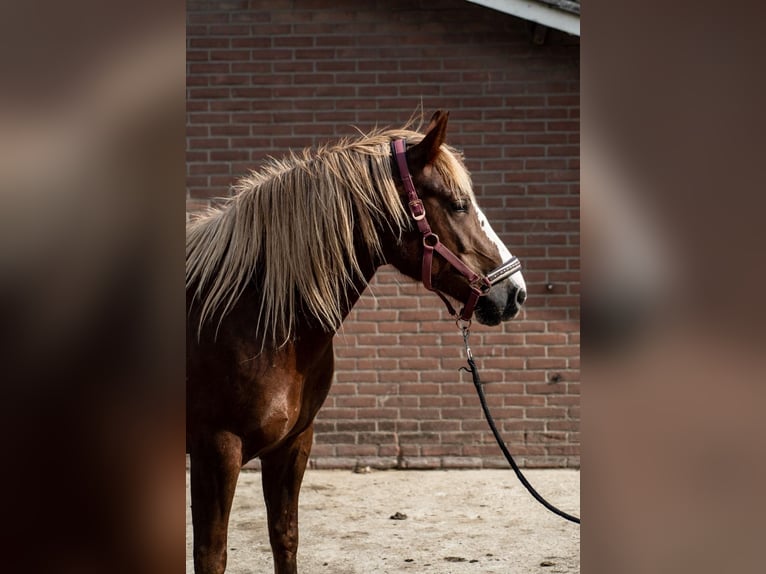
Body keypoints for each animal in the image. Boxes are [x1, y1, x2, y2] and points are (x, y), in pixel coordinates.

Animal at [186, 111, 527, 574]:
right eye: (459, 204)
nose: (515, 293)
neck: (252, 314)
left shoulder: (294, 444)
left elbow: (285, 538)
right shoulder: (216, 451)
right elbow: (211, 555)